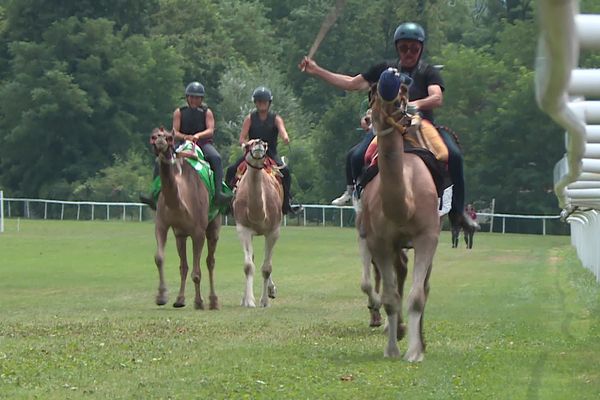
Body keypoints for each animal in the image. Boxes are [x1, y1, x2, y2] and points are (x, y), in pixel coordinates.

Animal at [151, 127, 221, 310]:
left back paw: (213, 301)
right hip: (180, 235)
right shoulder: (163, 225)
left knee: (210, 261)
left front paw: (199, 302)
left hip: (214, 225)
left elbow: (197, 272)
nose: (159, 140)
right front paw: (162, 296)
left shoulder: (198, 231)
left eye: (169, 138)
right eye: (153, 136)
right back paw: (180, 299)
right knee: (184, 266)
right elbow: (159, 258)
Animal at [232, 139, 284, 308]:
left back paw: (271, 290)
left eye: (266, 145)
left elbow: (267, 268)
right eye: (248, 144)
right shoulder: (243, 228)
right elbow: (248, 265)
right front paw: (249, 301)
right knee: (252, 259)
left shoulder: (273, 230)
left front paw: (265, 301)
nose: (259, 143)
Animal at [356, 69, 440, 362]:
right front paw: (392, 348)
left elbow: (417, 296)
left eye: (402, 94)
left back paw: (421, 341)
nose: (370, 118)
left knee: (424, 286)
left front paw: (414, 352)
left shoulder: (428, 235)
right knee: (400, 273)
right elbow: (391, 299)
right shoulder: (380, 241)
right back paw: (402, 330)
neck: (406, 203)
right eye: (372, 92)